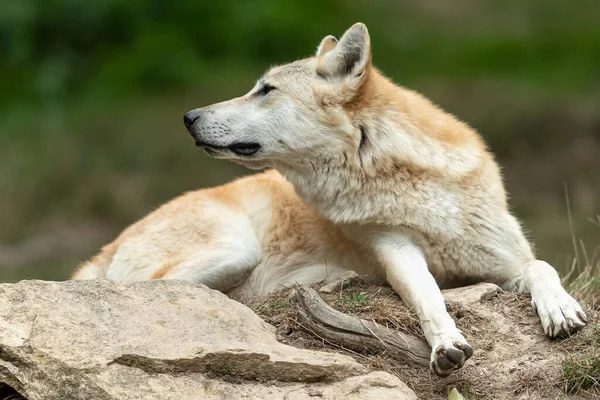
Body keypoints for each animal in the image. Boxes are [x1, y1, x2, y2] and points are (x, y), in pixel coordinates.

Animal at [74, 23, 584, 376]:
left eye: (266, 90)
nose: (188, 116)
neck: (409, 185)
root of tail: (106, 247)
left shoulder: (507, 261)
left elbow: (541, 266)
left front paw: (560, 310)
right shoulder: (395, 249)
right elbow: (428, 294)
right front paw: (446, 346)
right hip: (235, 252)